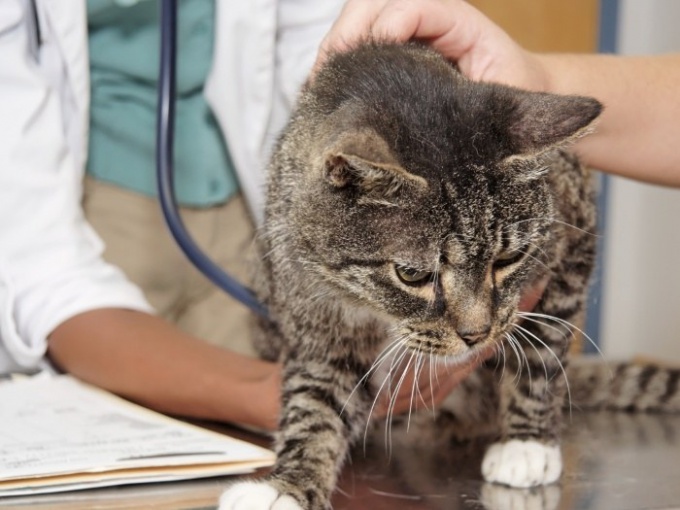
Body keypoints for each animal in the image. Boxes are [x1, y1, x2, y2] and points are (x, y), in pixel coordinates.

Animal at [220, 42, 676, 510]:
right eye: (411, 274)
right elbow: (315, 403)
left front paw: (527, 443)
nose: (476, 334)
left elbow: (541, 353)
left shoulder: (573, 243)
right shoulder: (316, 319)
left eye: (509, 258)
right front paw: (288, 485)